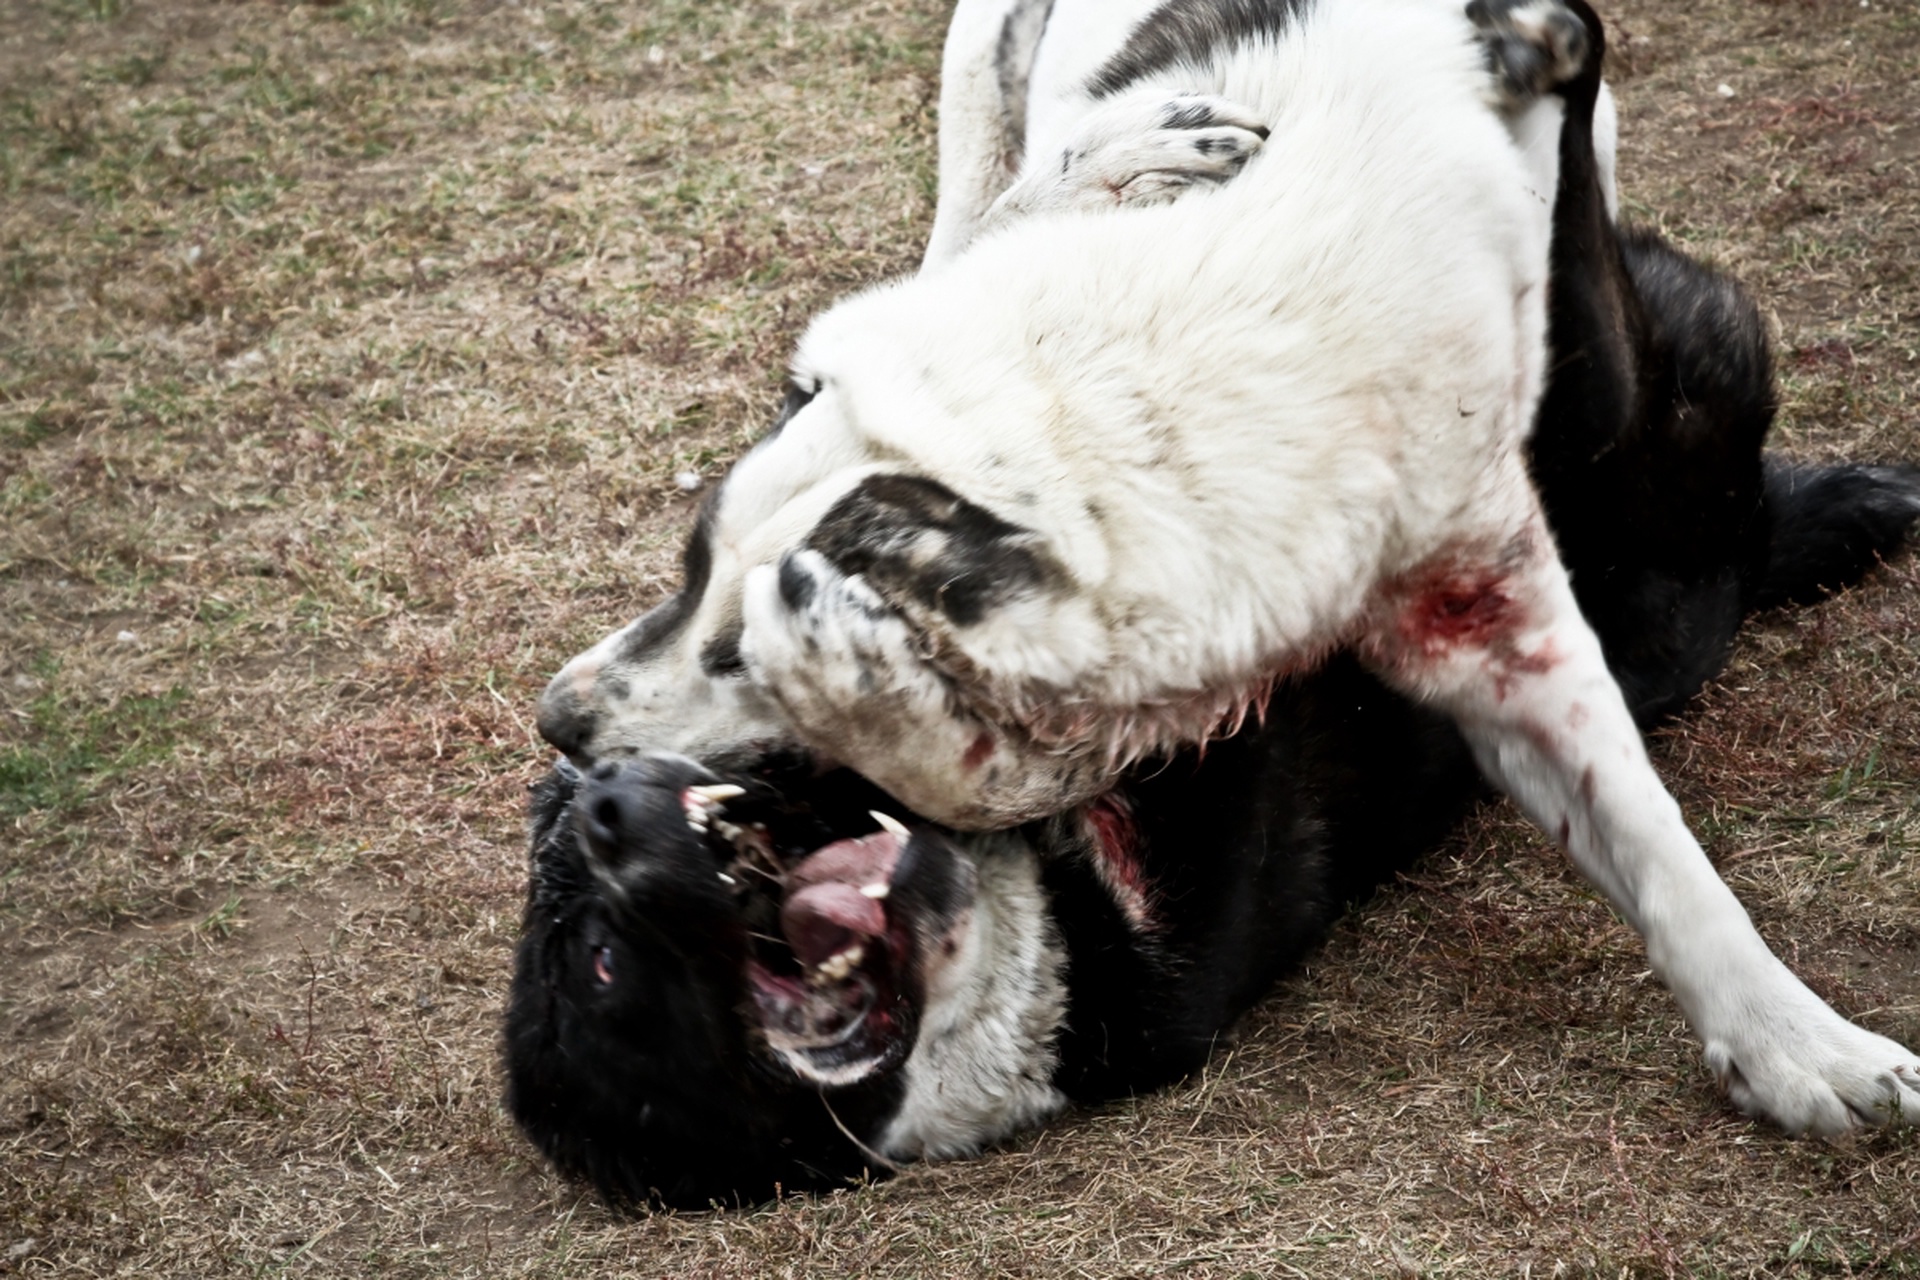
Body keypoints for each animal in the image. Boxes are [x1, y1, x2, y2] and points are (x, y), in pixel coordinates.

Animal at [506, 0, 1920, 1205]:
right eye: (689, 563)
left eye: (724, 637)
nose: (564, 738)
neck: (1154, 401)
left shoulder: (1490, 607)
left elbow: (1658, 853)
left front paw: (1797, 1044)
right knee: (970, 205)